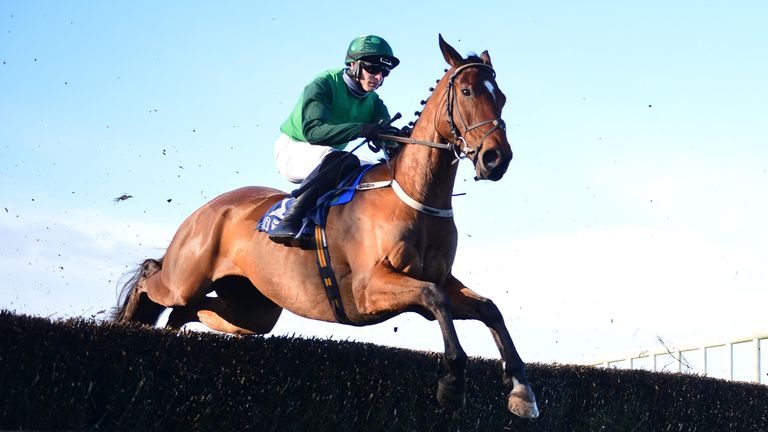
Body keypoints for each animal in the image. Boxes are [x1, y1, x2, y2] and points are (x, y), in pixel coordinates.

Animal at [112, 35, 540, 420]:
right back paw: (127, 324)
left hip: (252, 308)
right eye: (467, 91)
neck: (412, 196)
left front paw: (521, 390)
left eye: (501, 97)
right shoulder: (369, 289)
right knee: (152, 278)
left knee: (190, 312)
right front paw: (452, 383)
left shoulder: (439, 278)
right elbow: (437, 299)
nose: (496, 158)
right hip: (186, 278)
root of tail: (205, 210)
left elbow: (489, 308)